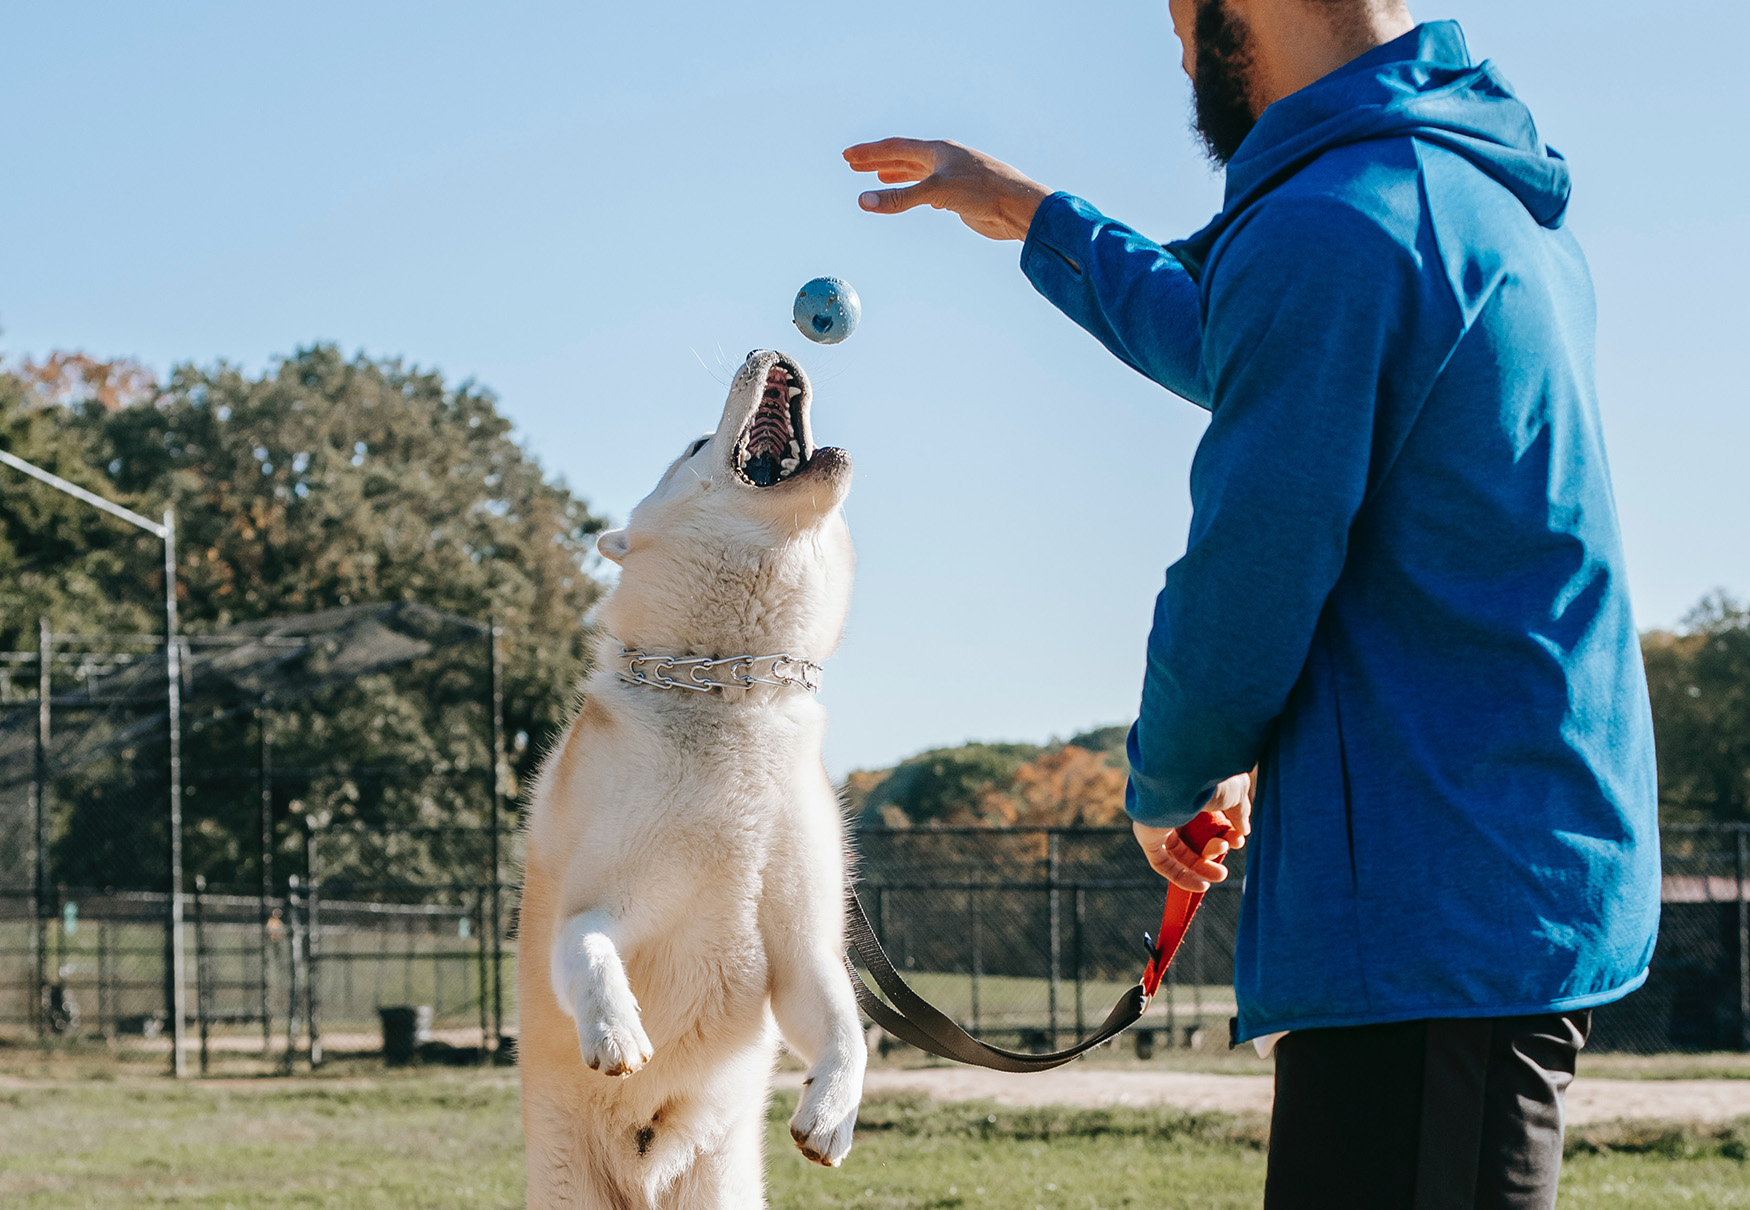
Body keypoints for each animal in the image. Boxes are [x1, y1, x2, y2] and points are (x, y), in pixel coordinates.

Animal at [518, 350, 868, 1210]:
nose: (768, 349)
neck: (727, 690)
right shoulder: (596, 906)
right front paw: (617, 1030)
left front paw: (831, 1115)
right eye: (694, 444)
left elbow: (847, 1028)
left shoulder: (802, 948)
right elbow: (587, 949)